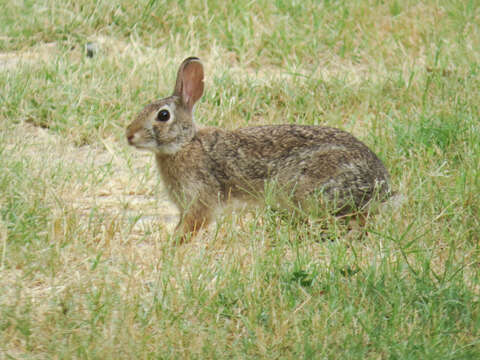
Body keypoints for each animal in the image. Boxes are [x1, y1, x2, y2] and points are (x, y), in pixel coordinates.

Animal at [126, 57, 390, 240]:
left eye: (163, 115)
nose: (129, 135)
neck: (185, 144)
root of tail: (381, 184)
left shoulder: (200, 201)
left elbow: (192, 226)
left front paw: (172, 247)